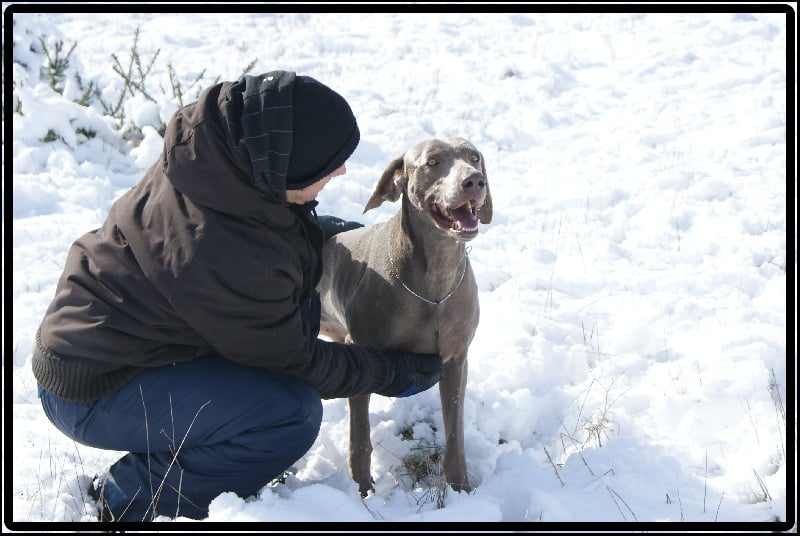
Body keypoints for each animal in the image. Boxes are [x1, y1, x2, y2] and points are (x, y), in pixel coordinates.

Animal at [318, 137, 492, 497]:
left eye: (474, 158)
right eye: (432, 162)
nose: (474, 181)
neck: (435, 281)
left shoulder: (456, 360)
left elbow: (455, 435)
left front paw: (461, 489)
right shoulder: (362, 354)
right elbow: (360, 439)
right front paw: (363, 495)